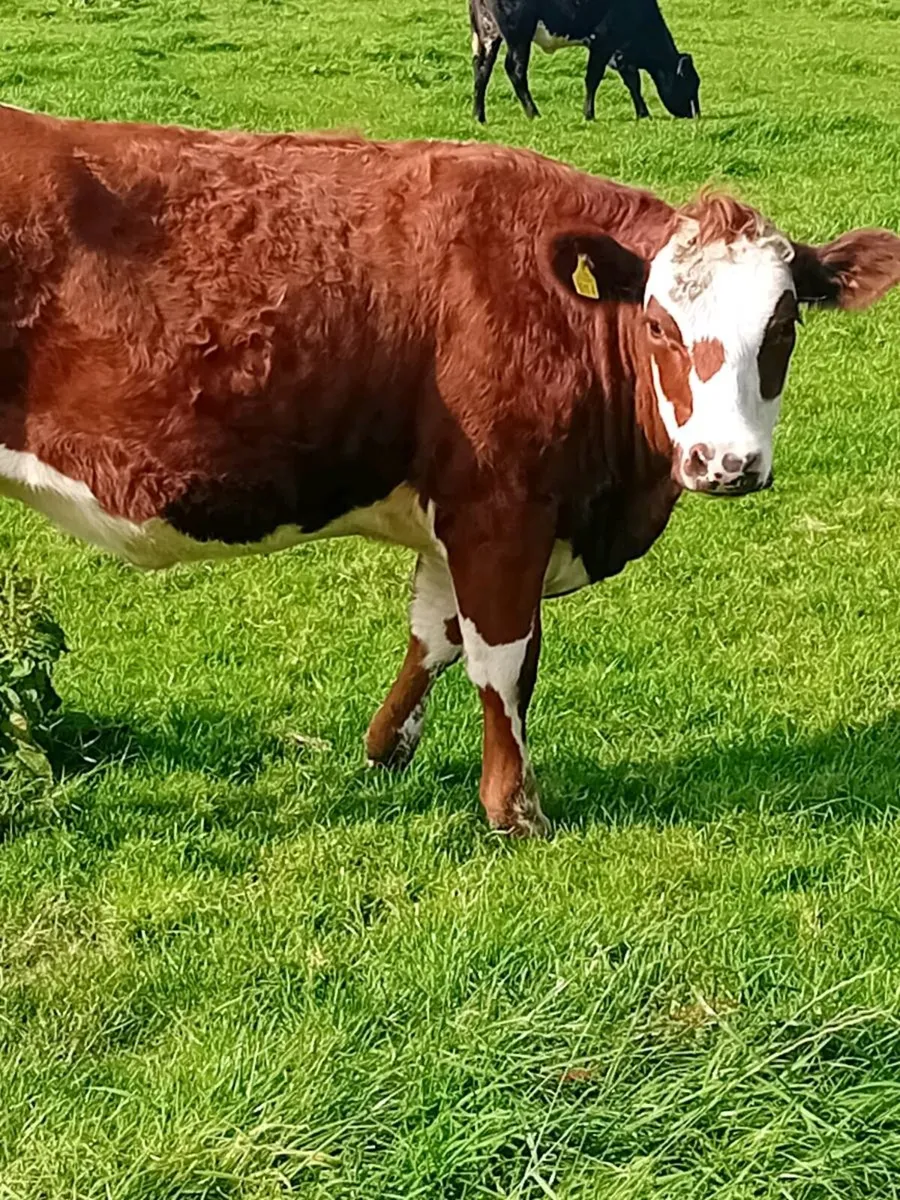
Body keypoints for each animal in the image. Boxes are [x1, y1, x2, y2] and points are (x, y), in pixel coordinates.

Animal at [0, 106, 898, 837]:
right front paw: (514, 809)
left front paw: (385, 749)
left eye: (783, 325)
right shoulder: (502, 507)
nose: (725, 463)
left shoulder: (459, 517)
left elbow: (435, 634)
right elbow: (502, 657)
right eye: (658, 325)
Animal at [470, 0, 700, 123]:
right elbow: (593, 79)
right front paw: (589, 114)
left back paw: (479, 116)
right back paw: (534, 113)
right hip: (519, 35)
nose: (696, 114)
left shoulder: (619, 54)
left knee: (482, 69)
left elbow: (632, 82)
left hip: (488, 34)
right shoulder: (603, 43)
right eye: (691, 82)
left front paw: (643, 113)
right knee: (515, 69)